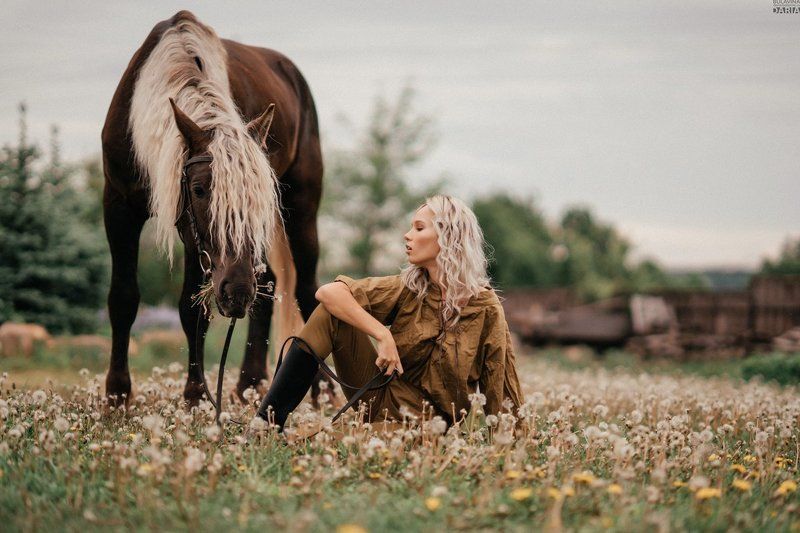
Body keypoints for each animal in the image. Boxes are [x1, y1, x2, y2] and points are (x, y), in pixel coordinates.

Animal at [101, 10, 327, 407]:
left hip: (303, 207)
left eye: (258, 197)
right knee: (267, 282)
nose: (236, 293)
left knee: (305, 289)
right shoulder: (119, 207)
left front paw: (194, 397)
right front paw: (117, 395)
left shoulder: (194, 238)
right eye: (199, 189)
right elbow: (123, 298)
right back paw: (250, 384)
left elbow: (192, 310)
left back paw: (316, 393)